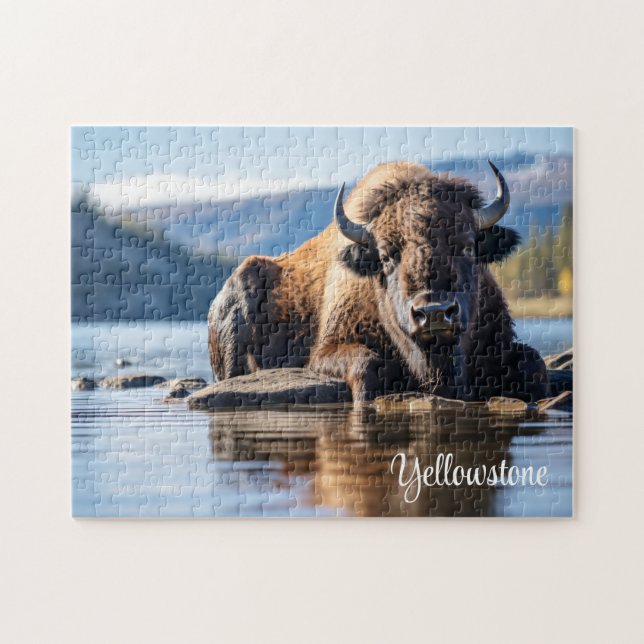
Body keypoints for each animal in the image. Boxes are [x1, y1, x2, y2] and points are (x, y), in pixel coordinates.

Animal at [208, 161, 548, 402]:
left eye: (467, 246)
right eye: (386, 256)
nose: (435, 312)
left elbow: (534, 363)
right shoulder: (323, 354)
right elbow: (366, 367)